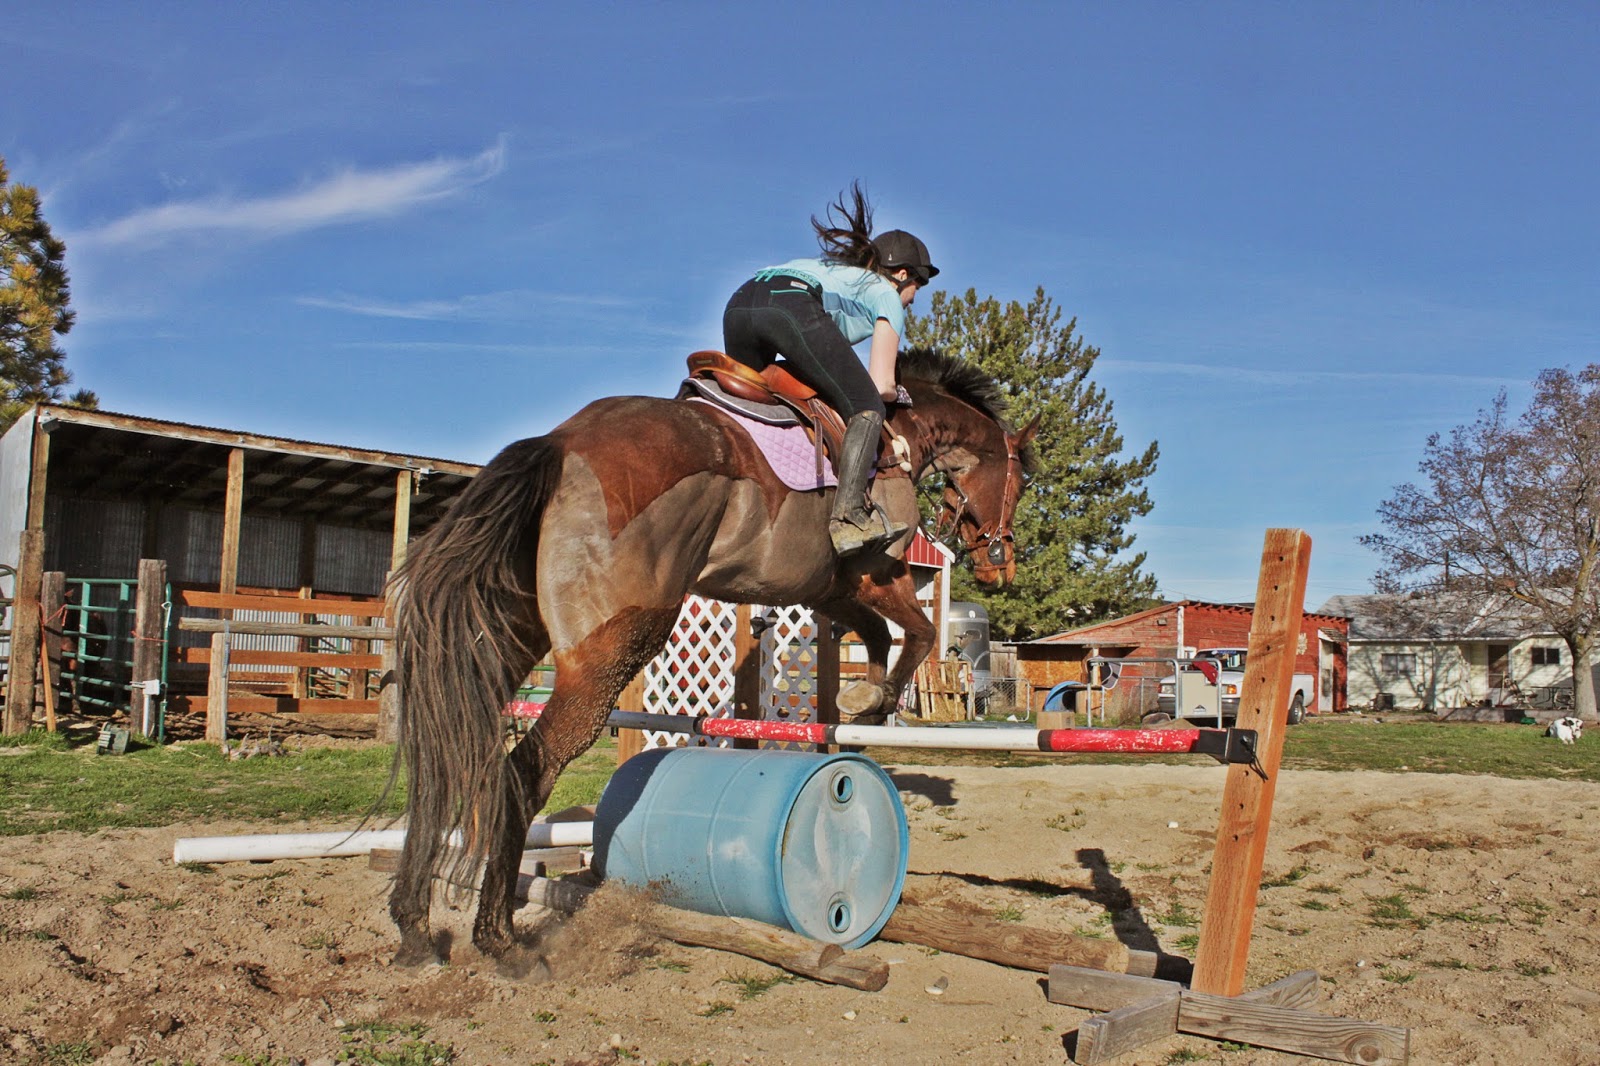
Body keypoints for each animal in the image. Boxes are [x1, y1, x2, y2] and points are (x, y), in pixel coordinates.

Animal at [387, 346, 1038, 965]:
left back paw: (414, 926)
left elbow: (879, 637)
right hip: (611, 649)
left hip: (509, 637)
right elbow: (918, 634)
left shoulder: (828, 589)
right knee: (523, 772)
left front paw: (863, 703)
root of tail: (561, 442)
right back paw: (498, 939)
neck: (901, 434)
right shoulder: (874, 575)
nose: (998, 565)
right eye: (1022, 483)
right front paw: (873, 700)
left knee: (444, 751)